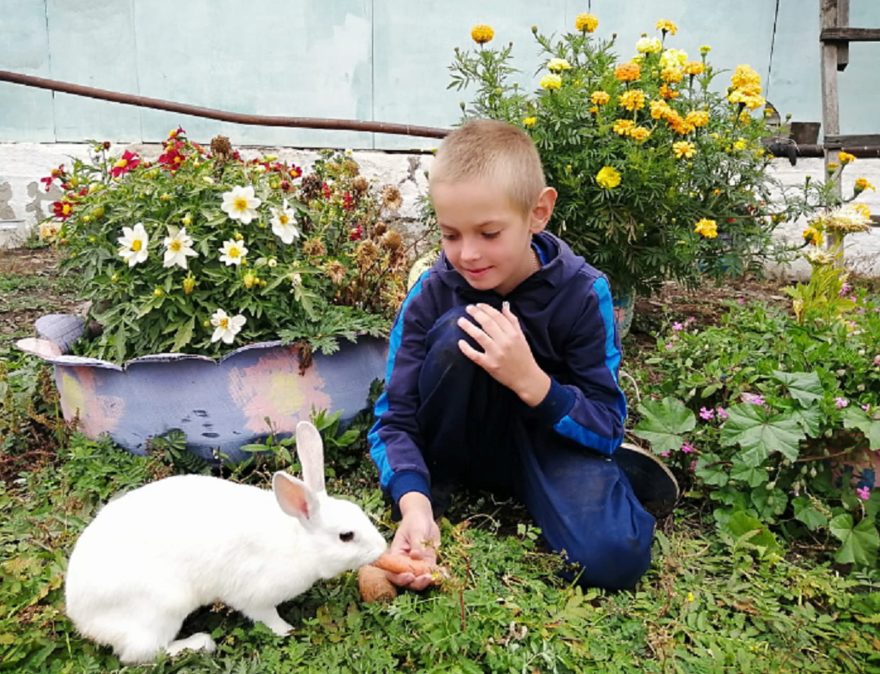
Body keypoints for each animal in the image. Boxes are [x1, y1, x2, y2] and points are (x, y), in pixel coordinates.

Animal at [63, 420, 386, 660]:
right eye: (346, 536)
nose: (382, 548)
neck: (299, 542)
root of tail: (81, 617)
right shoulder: (255, 595)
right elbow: (267, 617)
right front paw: (287, 631)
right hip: (163, 606)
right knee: (142, 652)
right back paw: (200, 643)